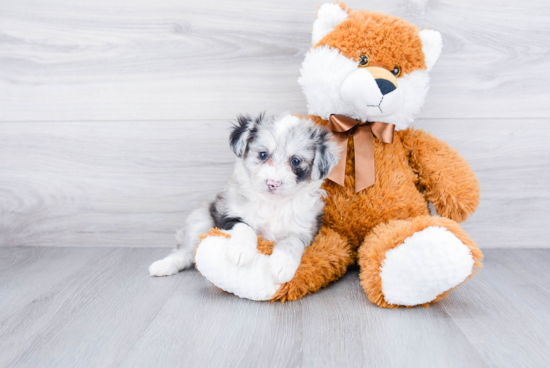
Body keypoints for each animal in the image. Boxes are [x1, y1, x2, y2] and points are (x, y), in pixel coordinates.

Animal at [151, 113, 340, 284]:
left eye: (295, 161)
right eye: (263, 155)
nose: (273, 183)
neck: (273, 203)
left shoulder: (304, 229)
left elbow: (291, 242)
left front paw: (282, 265)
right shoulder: (228, 215)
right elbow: (244, 227)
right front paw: (241, 252)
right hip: (200, 219)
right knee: (186, 252)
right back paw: (163, 266)